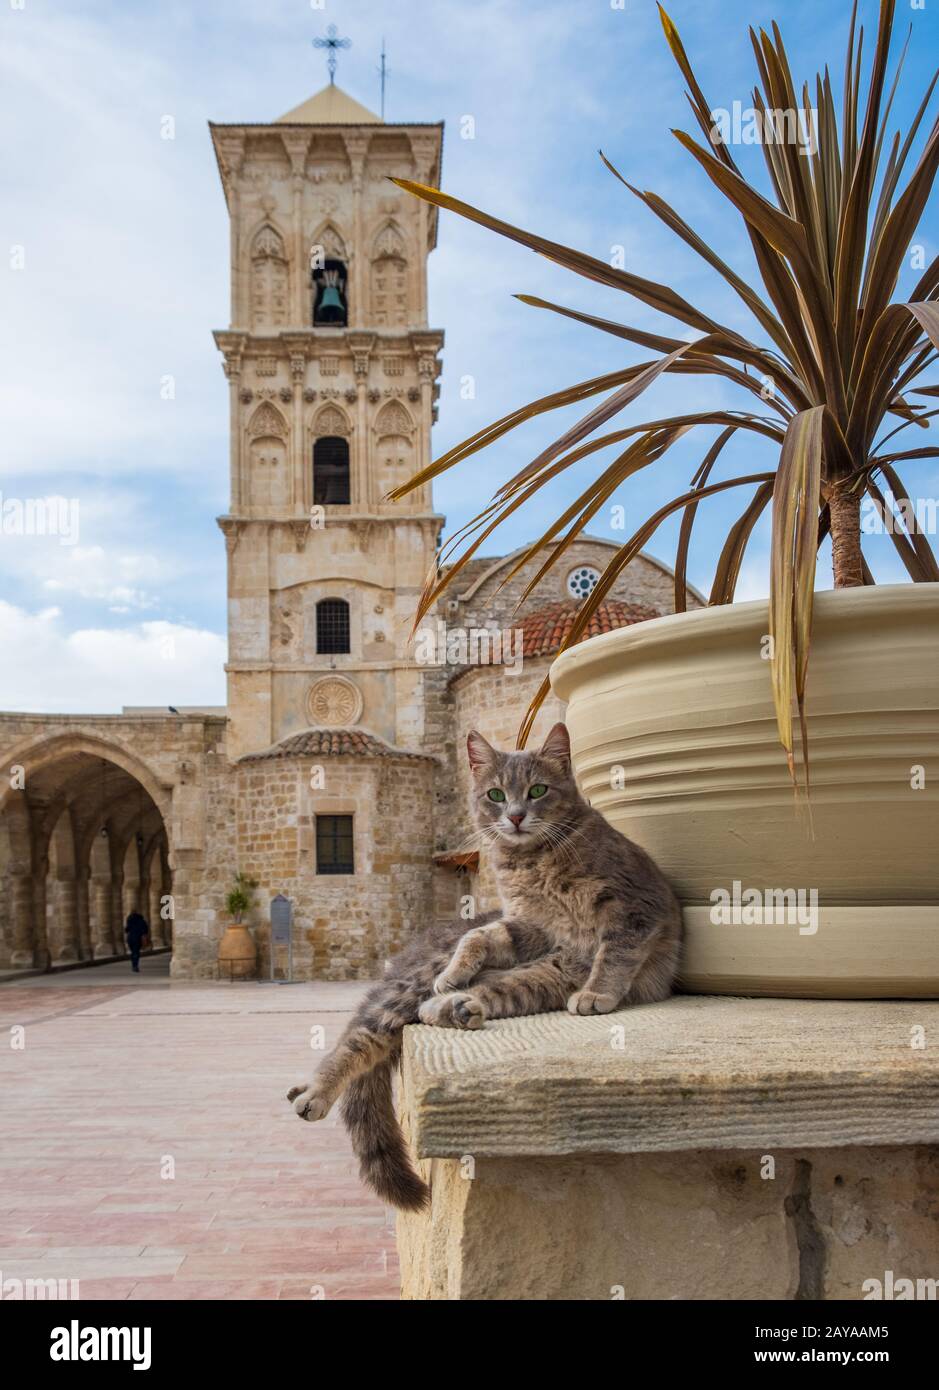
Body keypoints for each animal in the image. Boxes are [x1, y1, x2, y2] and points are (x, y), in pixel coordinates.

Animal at [286, 722, 683, 1212]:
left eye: (537, 790)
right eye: (496, 794)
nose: (514, 816)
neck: (530, 862)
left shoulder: (633, 907)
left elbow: (616, 951)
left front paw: (597, 992)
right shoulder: (532, 926)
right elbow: (483, 937)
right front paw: (459, 967)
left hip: (540, 979)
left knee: (468, 999)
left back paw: (454, 1008)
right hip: (418, 988)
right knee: (360, 1037)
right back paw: (318, 1089)